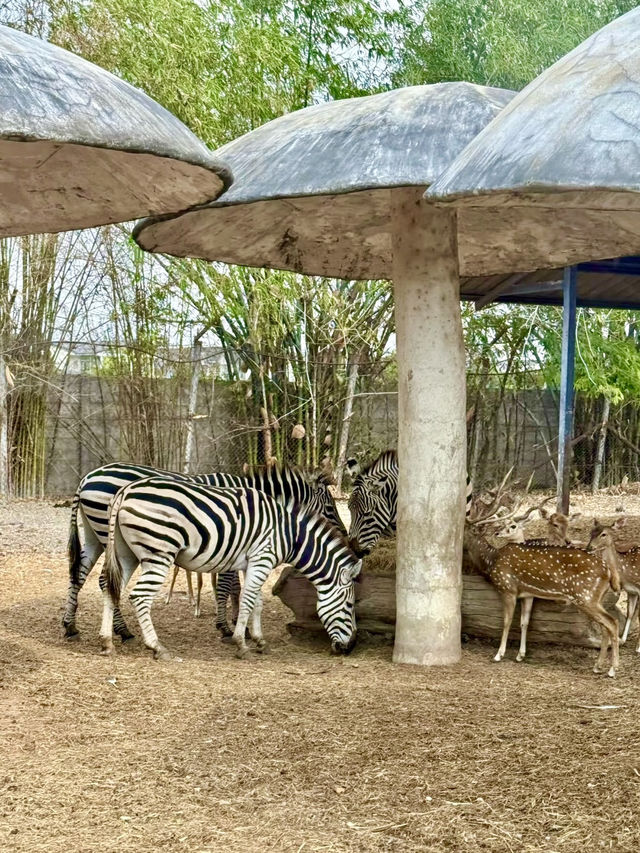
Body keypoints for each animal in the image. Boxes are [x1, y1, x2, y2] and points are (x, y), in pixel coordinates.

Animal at [63, 460, 344, 640]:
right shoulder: (234, 540)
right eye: (330, 506)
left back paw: (70, 626)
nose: (343, 533)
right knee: (104, 580)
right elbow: (228, 586)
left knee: (79, 575)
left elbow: (236, 587)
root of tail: (87, 478)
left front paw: (236, 621)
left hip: (94, 535)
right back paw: (121, 630)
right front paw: (226, 627)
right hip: (108, 535)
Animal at [99, 480, 360, 660]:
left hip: (126, 553)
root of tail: (125, 491)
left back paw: (107, 643)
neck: (290, 535)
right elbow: (247, 601)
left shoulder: (253, 563)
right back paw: (157, 647)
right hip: (158, 553)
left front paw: (259, 641)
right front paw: (241, 644)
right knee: (139, 596)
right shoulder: (262, 559)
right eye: (350, 605)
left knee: (110, 589)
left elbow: (257, 602)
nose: (350, 647)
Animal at [464, 524, 620, 672]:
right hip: (596, 598)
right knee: (605, 626)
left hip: (586, 597)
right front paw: (520, 655)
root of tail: (609, 571)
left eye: (466, 530)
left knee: (612, 622)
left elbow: (507, 621)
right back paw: (597, 666)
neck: (491, 561)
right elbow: (524, 622)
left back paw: (612, 669)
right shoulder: (527, 594)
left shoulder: (508, 588)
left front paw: (498, 655)